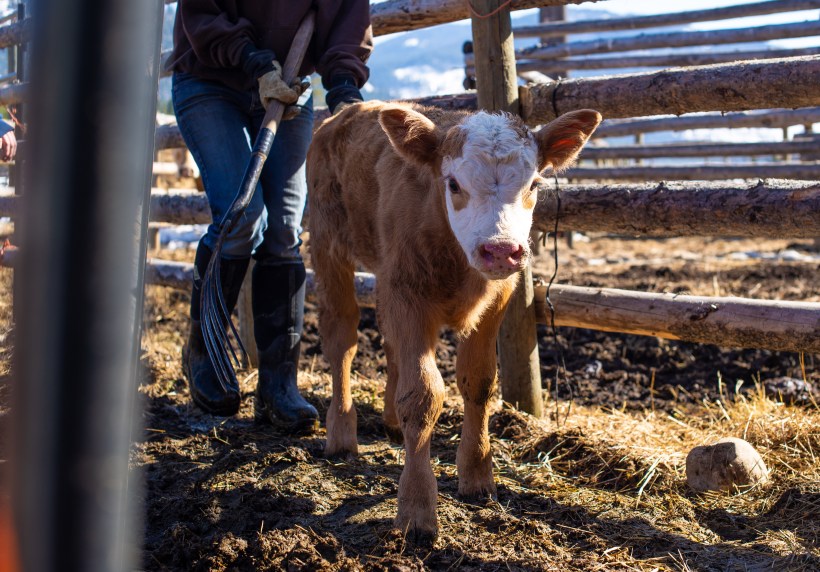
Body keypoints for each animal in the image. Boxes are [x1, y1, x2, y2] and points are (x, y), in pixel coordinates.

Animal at [307, 101, 601, 542]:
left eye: (533, 185)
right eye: (454, 184)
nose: (502, 250)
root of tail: (346, 111)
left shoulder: (495, 298)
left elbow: (478, 382)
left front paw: (477, 475)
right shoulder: (408, 294)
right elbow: (423, 395)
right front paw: (416, 508)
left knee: (388, 342)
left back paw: (390, 421)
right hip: (329, 245)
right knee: (341, 336)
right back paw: (341, 433)